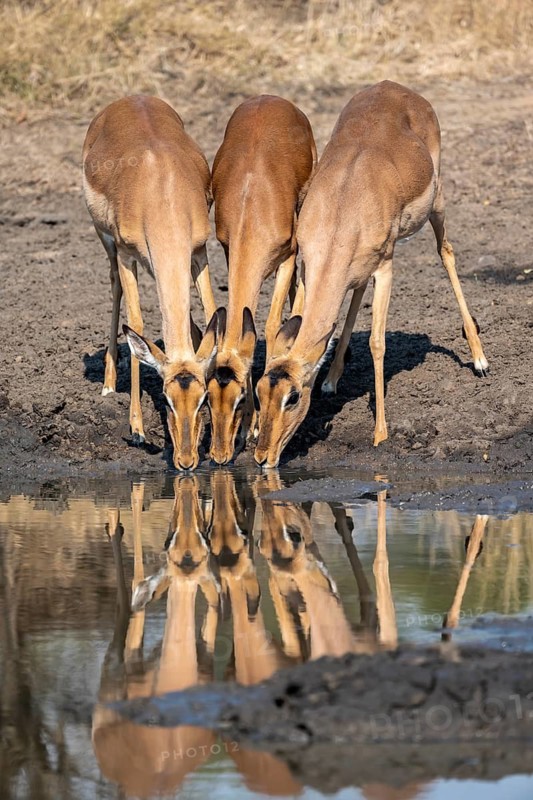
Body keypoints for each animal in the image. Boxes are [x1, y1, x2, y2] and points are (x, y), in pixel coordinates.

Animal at [82, 95, 220, 470]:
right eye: (165, 398)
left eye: (204, 399)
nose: (186, 461)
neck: (163, 194)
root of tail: (131, 98)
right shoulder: (127, 255)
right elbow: (138, 323)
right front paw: (138, 429)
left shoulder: (198, 252)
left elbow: (212, 313)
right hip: (107, 242)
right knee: (114, 287)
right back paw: (108, 386)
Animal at [208, 95, 317, 464]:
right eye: (207, 398)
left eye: (242, 396)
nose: (219, 455)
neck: (250, 208)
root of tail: (268, 98)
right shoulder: (229, 251)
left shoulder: (288, 256)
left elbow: (269, 327)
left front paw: (255, 428)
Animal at [254, 81, 489, 468]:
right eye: (259, 391)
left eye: (293, 396)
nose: (262, 457)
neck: (344, 205)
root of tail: (394, 86)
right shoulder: (308, 269)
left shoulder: (386, 267)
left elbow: (377, 343)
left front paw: (380, 434)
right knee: (357, 292)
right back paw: (332, 379)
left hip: (437, 205)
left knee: (446, 253)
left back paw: (480, 360)